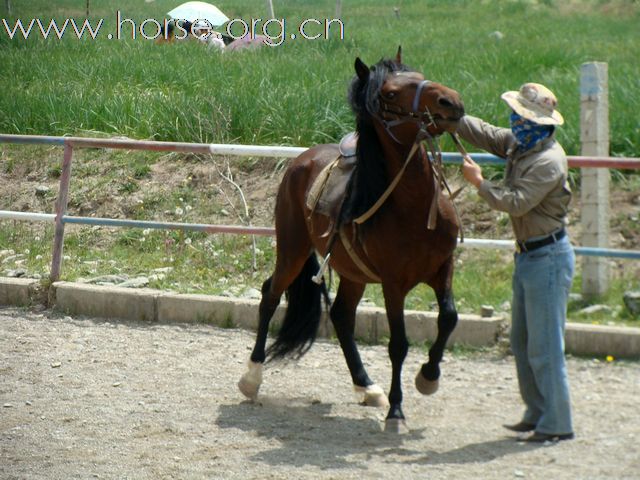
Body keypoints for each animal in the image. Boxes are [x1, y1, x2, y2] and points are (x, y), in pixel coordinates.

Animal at [240, 49, 464, 432]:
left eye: (420, 76)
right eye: (390, 93)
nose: (451, 100)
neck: (413, 207)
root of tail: (301, 160)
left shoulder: (442, 268)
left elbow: (449, 318)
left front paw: (428, 376)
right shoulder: (393, 284)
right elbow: (399, 344)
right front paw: (396, 409)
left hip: (352, 273)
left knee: (342, 316)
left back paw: (367, 386)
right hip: (293, 249)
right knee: (270, 295)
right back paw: (252, 377)